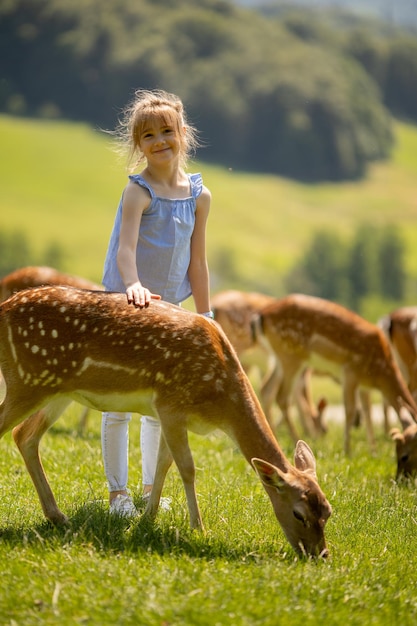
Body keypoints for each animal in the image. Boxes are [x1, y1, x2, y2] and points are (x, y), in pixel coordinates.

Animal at [252, 292, 416, 454]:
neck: (382, 372)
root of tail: (261, 315)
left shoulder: (364, 384)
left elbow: (367, 412)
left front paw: (373, 451)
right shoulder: (350, 372)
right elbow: (349, 410)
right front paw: (348, 451)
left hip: (279, 358)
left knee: (267, 388)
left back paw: (275, 437)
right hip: (292, 355)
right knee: (282, 396)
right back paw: (294, 441)